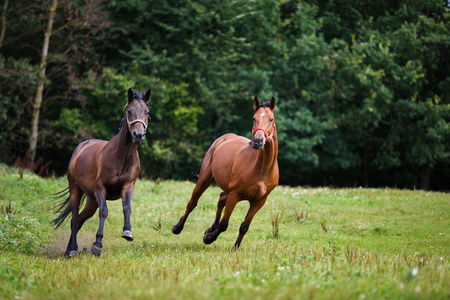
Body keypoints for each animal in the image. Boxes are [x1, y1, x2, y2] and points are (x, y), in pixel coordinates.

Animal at [50, 88, 149, 256]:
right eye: (129, 111)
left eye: (147, 112)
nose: (138, 135)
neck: (122, 156)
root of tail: (80, 147)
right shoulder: (101, 187)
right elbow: (104, 212)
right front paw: (97, 244)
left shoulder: (128, 186)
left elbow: (127, 208)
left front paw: (127, 232)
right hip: (76, 190)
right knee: (75, 218)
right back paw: (73, 249)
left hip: (92, 199)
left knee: (80, 219)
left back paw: (69, 249)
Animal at [172, 97, 278, 250]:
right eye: (254, 118)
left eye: (271, 119)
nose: (258, 141)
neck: (262, 169)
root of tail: (223, 138)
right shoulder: (234, 195)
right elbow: (224, 224)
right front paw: (209, 238)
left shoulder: (259, 201)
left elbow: (244, 226)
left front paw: (235, 248)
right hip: (204, 180)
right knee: (192, 203)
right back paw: (178, 227)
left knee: (221, 198)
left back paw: (211, 228)